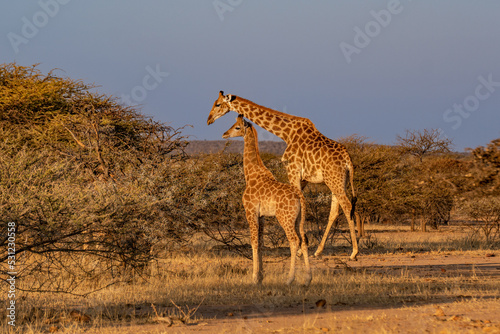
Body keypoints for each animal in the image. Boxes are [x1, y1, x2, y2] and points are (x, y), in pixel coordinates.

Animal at [208, 91, 360, 260]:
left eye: (218, 104)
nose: (209, 120)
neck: (286, 133)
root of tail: (348, 160)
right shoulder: (303, 178)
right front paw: (302, 247)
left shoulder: (292, 170)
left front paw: (299, 248)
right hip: (337, 181)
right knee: (335, 211)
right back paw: (318, 250)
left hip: (335, 180)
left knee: (347, 207)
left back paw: (354, 251)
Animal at [222, 116, 308, 286]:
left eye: (237, 127)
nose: (224, 134)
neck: (250, 174)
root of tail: (300, 196)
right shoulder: (262, 216)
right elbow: (261, 243)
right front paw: (261, 276)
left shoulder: (250, 211)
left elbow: (254, 242)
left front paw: (254, 278)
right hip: (298, 219)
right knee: (304, 240)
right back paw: (309, 278)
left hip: (285, 218)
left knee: (294, 241)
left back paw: (290, 279)